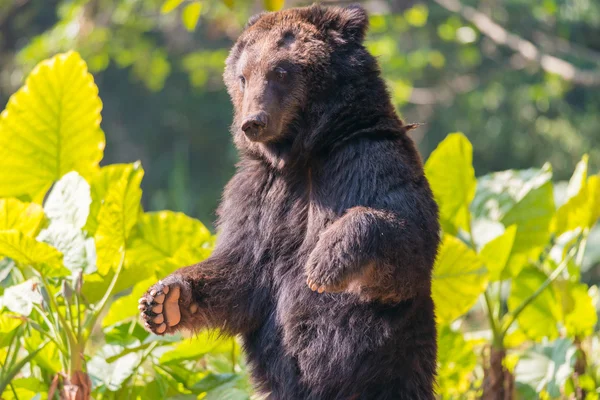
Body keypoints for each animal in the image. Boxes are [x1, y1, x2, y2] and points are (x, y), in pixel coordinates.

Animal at [141, 3, 440, 400]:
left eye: (280, 71)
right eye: (243, 76)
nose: (253, 122)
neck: (301, 155)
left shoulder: (367, 160)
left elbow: (407, 241)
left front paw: (324, 261)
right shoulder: (258, 194)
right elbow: (242, 268)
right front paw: (165, 300)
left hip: (391, 374)